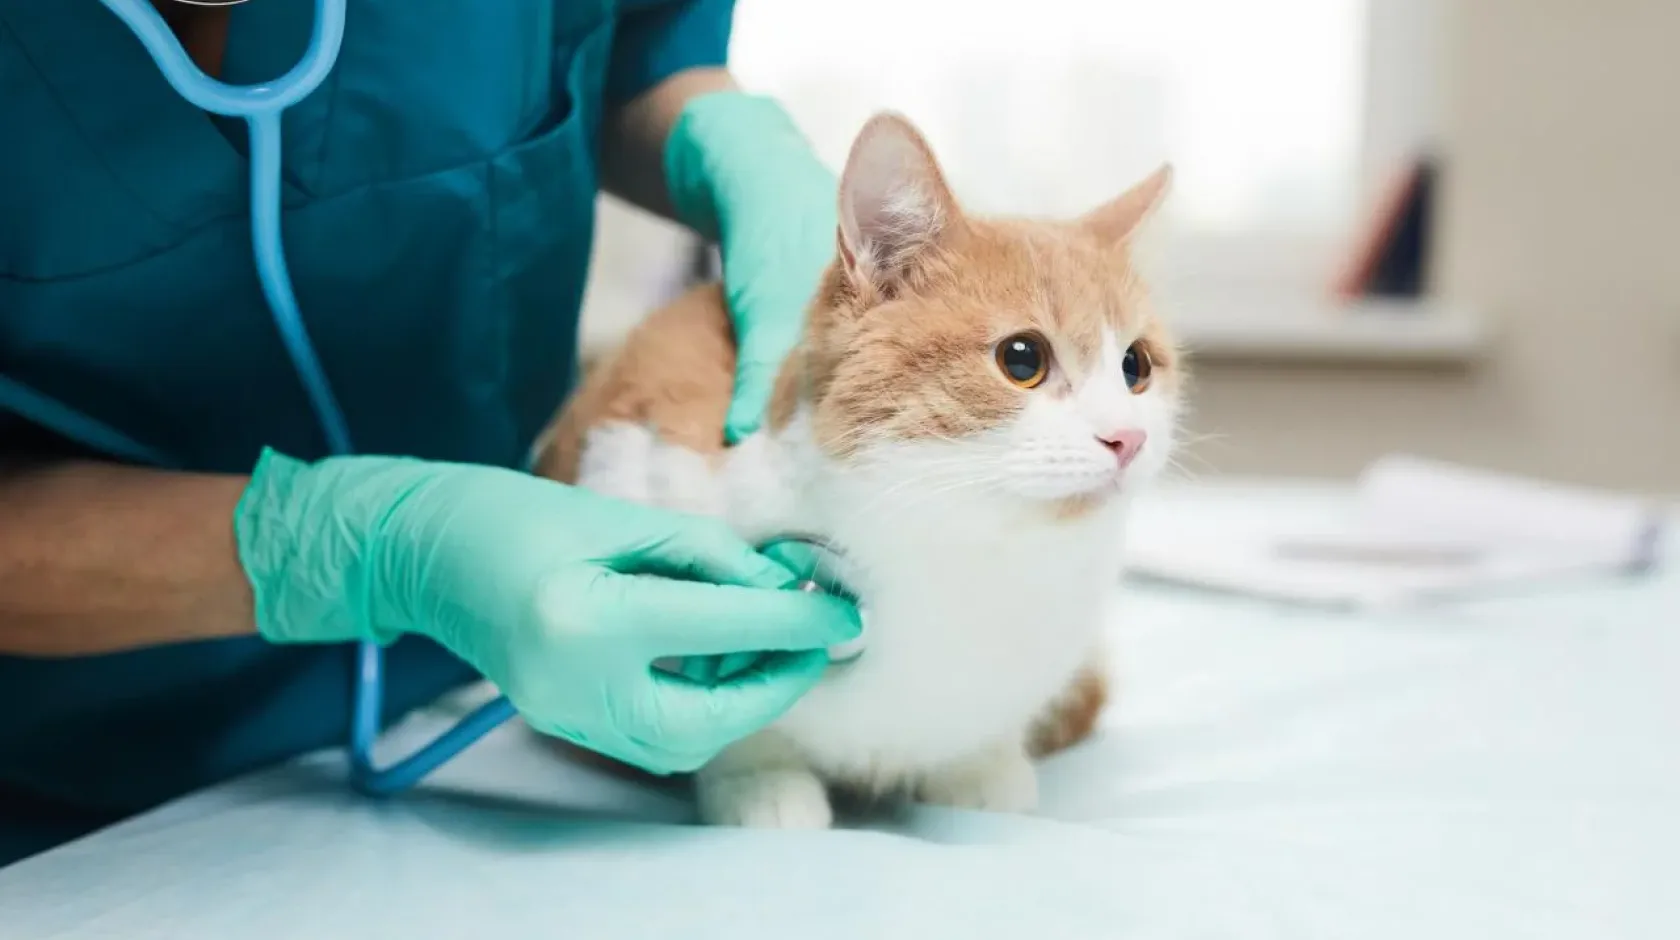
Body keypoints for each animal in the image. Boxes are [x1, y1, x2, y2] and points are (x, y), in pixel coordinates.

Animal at [534, 111, 1182, 829]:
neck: (953, 547)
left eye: (1135, 367)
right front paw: (759, 782)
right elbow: (729, 724)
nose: (1127, 437)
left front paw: (978, 767)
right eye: (1023, 359)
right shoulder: (638, 466)